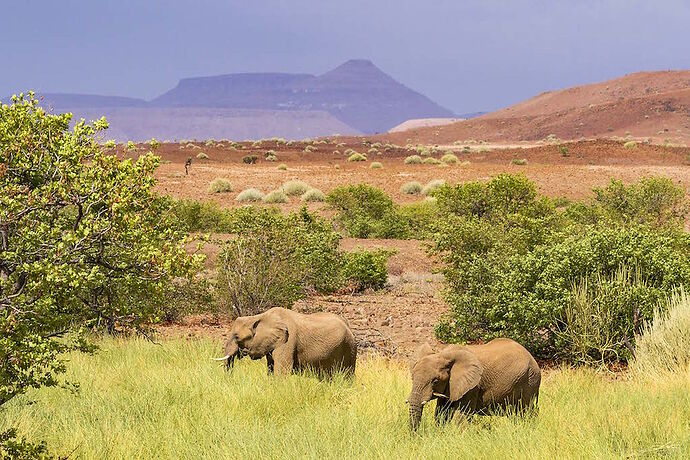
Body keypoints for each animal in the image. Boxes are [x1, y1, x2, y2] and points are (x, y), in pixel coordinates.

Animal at [214, 306, 354, 378]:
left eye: (237, 337)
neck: (260, 317)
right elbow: (271, 367)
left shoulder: (288, 341)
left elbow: (282, 371)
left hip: (349, 347)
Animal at [406, 338, 540, 432]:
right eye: (412, 377)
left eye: (435, 381)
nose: (416, 436)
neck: (444, 355)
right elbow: (441, 412)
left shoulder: (473, 387)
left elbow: (462, 415)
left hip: (530, 381)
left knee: (525, 412)